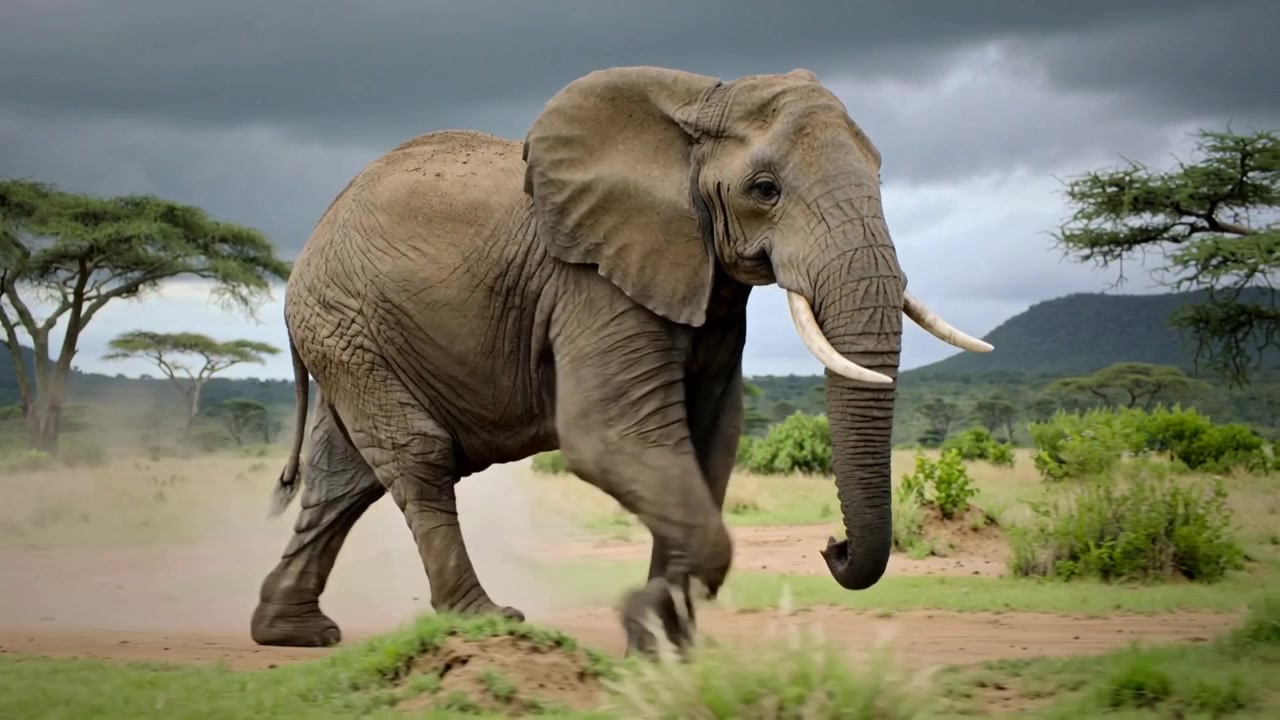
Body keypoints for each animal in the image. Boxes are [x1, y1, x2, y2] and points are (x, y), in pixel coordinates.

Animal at [249, 65, 992, 655]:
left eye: (881, 177)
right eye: (765, 189)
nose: (832, 548)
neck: (700, 102)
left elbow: (707, 445)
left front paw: (665, 648)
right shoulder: (592, 283)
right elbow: (613, 439)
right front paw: (641, 626)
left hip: (351, 331)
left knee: (345, 478)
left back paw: (293, 633)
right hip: (344, 320)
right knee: (417, 455)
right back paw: (486, 622)